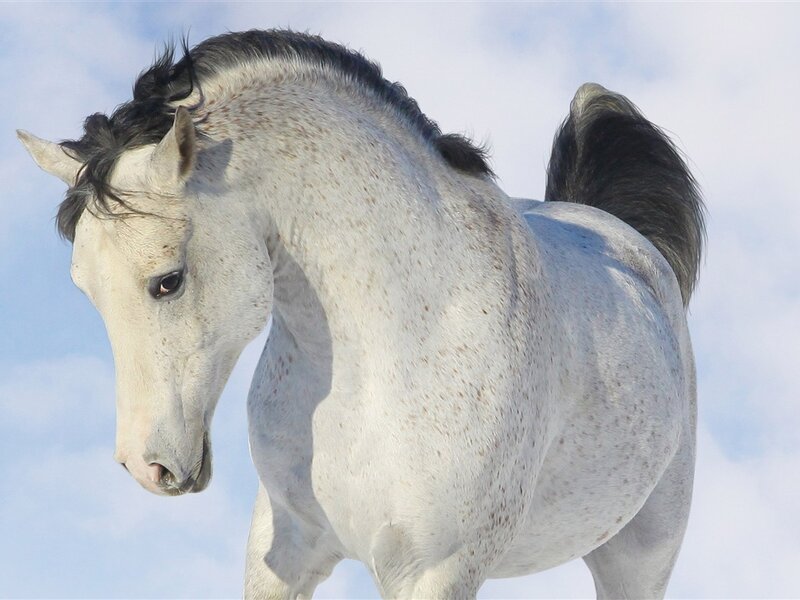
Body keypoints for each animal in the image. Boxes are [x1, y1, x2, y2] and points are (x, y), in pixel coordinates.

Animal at [18, 30, 704, 599]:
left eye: (168, 281)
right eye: (85, 289)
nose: (147, 465)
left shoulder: (434, 572)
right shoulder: (285, 550)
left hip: (639, 555)